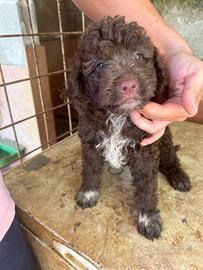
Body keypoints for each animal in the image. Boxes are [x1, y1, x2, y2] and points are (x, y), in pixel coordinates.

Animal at [68, 16, 190, 240]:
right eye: (100, 65)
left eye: (139, 56)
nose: (128, 85)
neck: (118, 116)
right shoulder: (90, 140)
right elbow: (90, 168)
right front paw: (88, 193)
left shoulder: (146, 148)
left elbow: (146, 185)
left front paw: (147, 218)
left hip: (165, 139)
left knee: (170, 158)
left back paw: (178, 176)